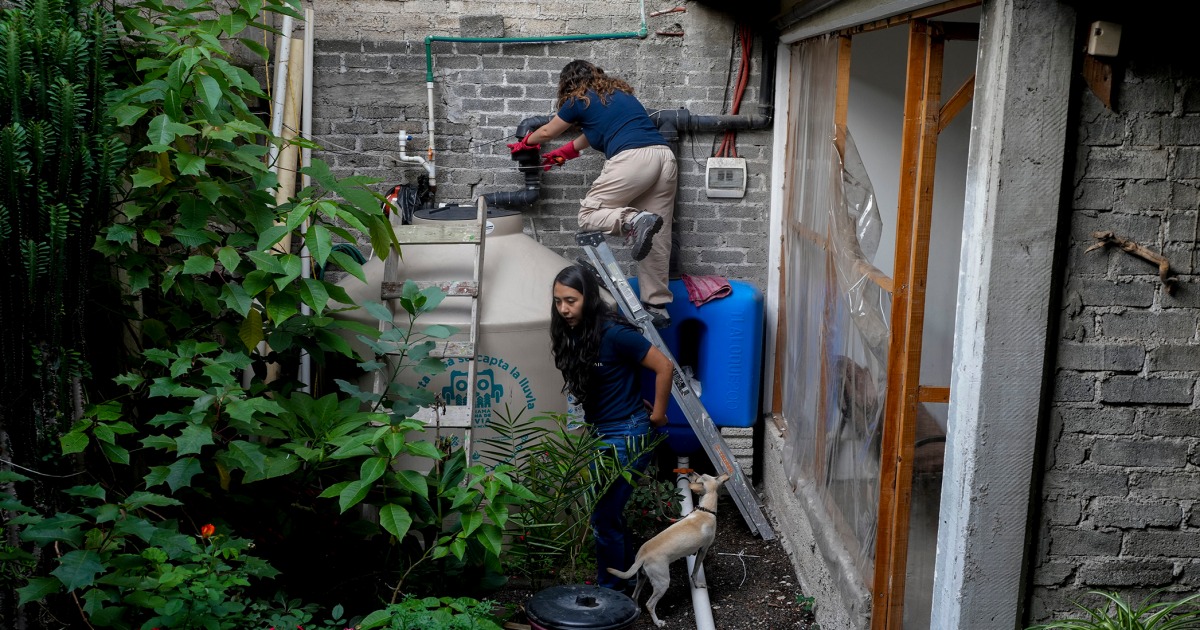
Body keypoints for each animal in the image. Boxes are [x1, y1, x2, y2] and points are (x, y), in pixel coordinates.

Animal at [604, 470, 724, 624]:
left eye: (701, 475)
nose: (690, 472)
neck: (705, 510)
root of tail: (642, 556)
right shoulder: (703, 550)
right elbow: (695, 571)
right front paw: (698, 585)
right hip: (662, 582)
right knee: (649, 604)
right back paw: (658, 622)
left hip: (641, 577)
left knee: (635, 595)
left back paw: (637, 612)